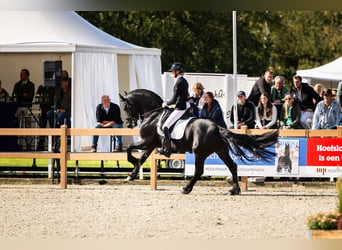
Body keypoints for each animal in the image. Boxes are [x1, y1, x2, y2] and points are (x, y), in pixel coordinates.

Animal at [119, 89, 278, 194]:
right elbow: (142, 158)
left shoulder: (147, 142)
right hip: (221, 151)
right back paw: (234, 189)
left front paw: (131, 169)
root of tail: (217, 127)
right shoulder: (151, 144)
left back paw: (186, 188)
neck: (153, 115)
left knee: (199, 170)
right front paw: (132, 174)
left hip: (199, 152)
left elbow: (130, 149)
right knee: (232, 166)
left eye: (126, 107)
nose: (129, 123)